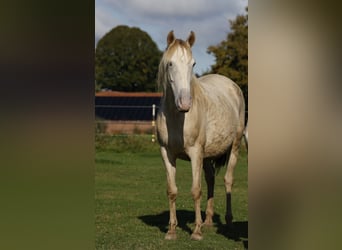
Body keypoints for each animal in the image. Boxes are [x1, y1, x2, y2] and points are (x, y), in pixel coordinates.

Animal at [155, 31, 246, 240]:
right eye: (170, 63)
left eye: (193, 64)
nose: (185, 103)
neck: (177, 118)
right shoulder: (167, 153)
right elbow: (172, 191)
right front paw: (172, 230)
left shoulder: (195, 152)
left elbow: (196, 191)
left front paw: (196, 232)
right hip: (207, 155)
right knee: (211, 179)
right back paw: (208, 220)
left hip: (234, 147)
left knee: (227, 180)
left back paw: (227, 221)